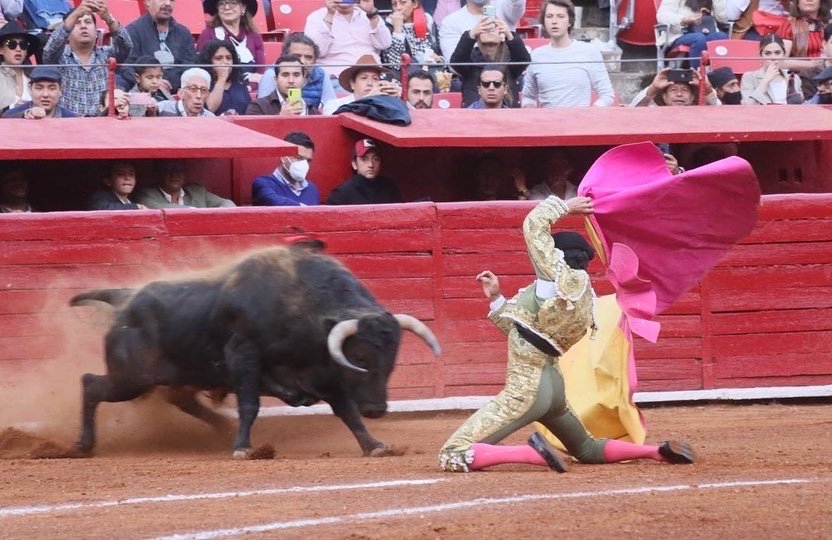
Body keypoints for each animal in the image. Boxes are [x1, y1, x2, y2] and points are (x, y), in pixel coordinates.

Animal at [69, 244, 441, 459]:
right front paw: (243, 448)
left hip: (170, 376)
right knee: (91, 383)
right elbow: (250, 403)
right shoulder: (244, 356)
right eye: (360, 358)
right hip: (132, 378)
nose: (378, 409)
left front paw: (374, 445)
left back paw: (222, 427)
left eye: (392, 362)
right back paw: (82, 446)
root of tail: (124, 298)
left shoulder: (326, 371)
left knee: (182, 401)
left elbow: (347, 411)